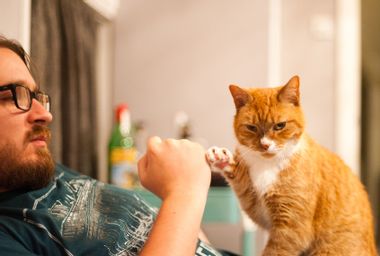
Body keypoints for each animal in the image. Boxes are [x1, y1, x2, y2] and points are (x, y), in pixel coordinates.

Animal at [208, 76, 378, 256]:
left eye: (280, 125)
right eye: (251, 127)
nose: (265, 145)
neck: (269, 165)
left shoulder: (292, 228)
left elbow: (274, 251)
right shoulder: (255, 205)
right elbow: (241, 179)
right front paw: (221, 159)